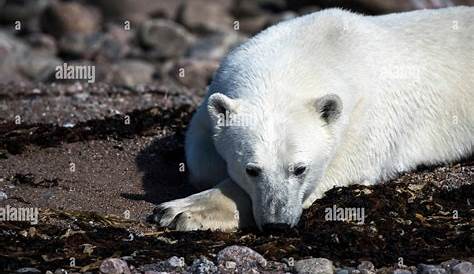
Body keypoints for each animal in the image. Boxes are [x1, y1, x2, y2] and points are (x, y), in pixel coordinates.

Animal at [154, 6, 472, 231]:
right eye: (252, 169)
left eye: (300, 169)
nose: (277, 224)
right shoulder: (219, 86)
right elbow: (202, 153)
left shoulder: (366, 120)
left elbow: (340, 167)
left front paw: (182, 211)